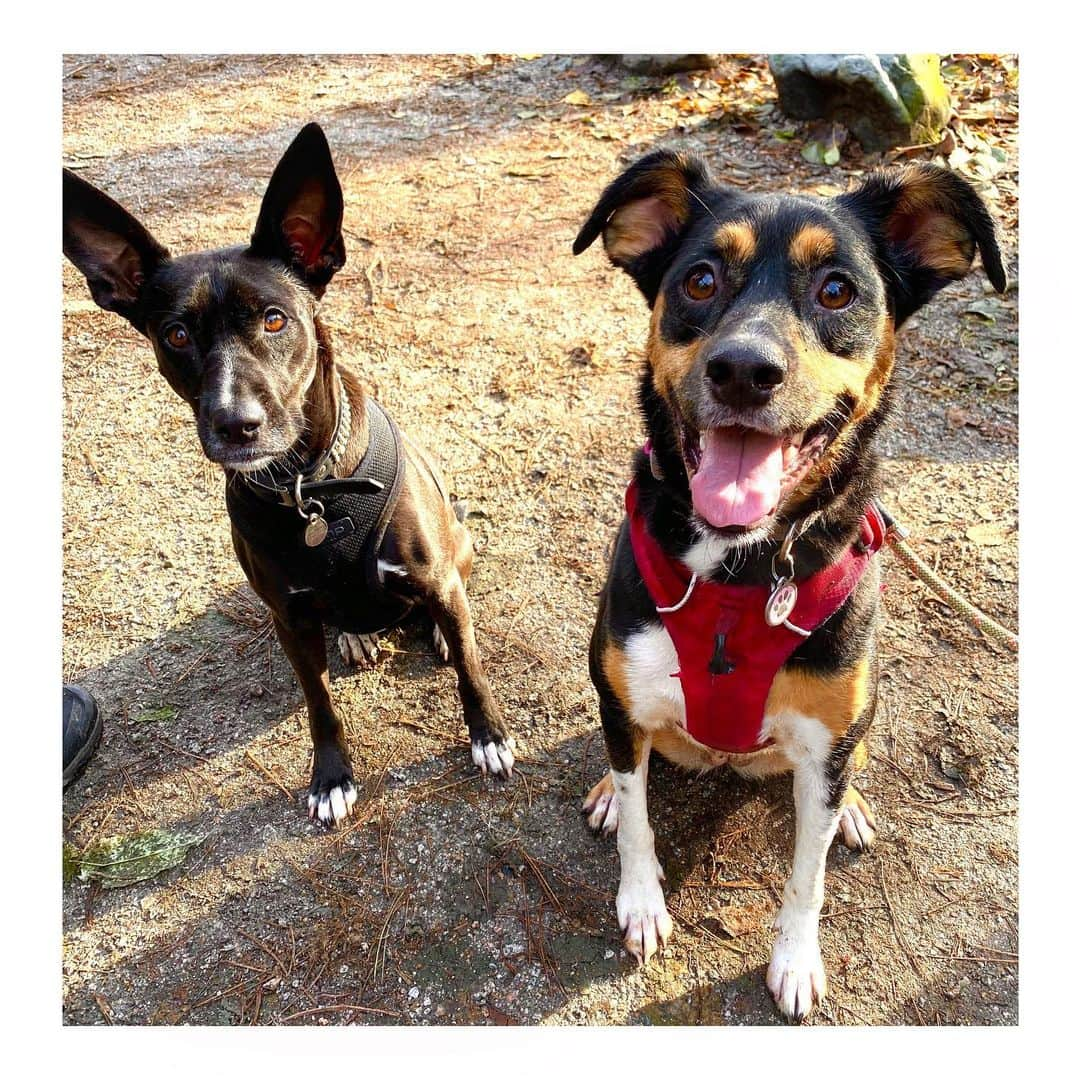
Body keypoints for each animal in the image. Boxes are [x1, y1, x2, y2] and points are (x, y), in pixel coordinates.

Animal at [65, 120, 516, 825]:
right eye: (175, 335)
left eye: (275, 319)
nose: (236, 423)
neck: (312, 487)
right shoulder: (290, 618)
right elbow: (319, 704)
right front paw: (331, 777)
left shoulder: (437, 580)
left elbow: (471, 667)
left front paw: (487, 734)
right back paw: (356, 637)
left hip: (458, 548)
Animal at [574, 152, 1002, 1019]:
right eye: (699, 279)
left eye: (837, 290)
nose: (743, 370)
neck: (738, 570)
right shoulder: (623, 697)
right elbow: (638, 820)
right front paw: (641, 901)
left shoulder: (825, 750)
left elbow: (808, 876)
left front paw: (797, 961)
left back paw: (855, 812)